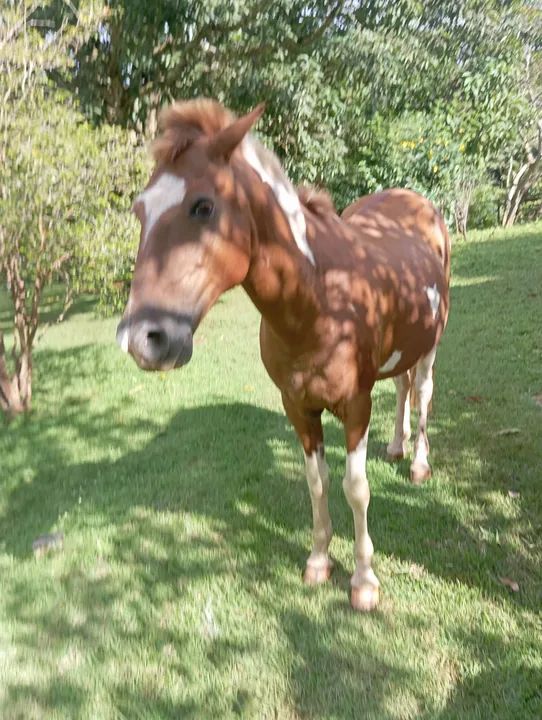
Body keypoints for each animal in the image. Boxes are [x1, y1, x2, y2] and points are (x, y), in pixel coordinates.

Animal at [116, 99, 450, 612]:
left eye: (203, 206)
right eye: (140, 211)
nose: (143, 339)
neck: (320, 298)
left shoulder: (356, 406)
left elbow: (356, 489)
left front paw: (363, 581)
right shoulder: (297, 407)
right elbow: (317, 482)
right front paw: (318, 562)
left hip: (431, 344)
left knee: (424, 391)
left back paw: (417, 463)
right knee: (403, 385)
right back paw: (396, 445)